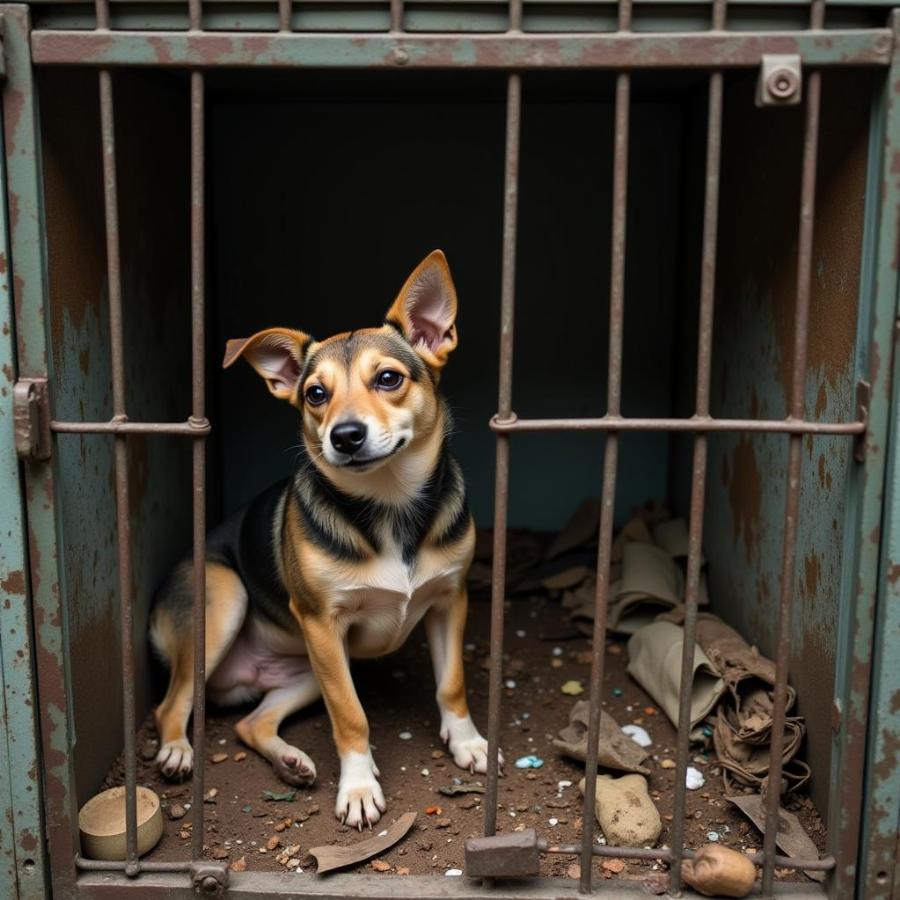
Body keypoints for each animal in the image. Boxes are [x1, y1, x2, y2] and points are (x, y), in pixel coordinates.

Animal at [150, 250, 496, 828]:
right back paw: (177, 750)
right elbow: (350, 715)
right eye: (316, 393)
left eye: (388, 378)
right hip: (227, 600)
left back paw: (290, 761)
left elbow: (452, 683)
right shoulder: (321, 624)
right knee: (171, 704)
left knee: (250, 724)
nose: (346, 436)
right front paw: (357, 788)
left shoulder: (451, 598)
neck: (390, 507)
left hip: (307, 671)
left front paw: (467, 742)